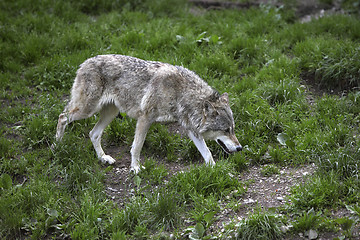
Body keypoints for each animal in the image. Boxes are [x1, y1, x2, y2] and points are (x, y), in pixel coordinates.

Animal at [53, 55, 242, 173]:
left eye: (233, 129)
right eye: (225, 130)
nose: (240, 148)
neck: (180, 93)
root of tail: (84, 62)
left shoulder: (190, 129)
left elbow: (207, 153)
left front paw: (217, 170)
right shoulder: (145, 118)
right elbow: (137, 147)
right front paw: (135, 168)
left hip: (111, 113)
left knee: (93, 133)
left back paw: (103, 158)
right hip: (87, 110)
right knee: (62, 117)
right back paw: (57, 147)